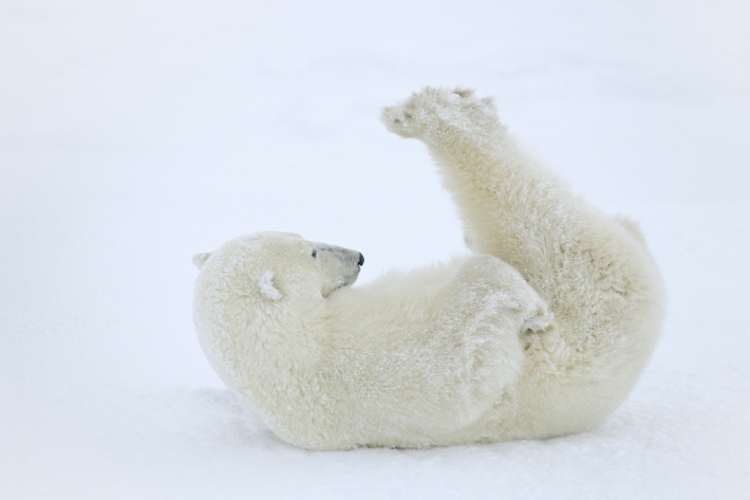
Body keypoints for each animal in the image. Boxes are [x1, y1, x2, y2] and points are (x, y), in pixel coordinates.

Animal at [192, 87, 665, 450]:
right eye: (310, 253)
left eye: (303, 235)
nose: (359, 256)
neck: (287, 349)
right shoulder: (372, 364)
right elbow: (465, 349)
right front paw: (527, 307)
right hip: (599, 286)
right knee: (532, 213)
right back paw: (429, 112)